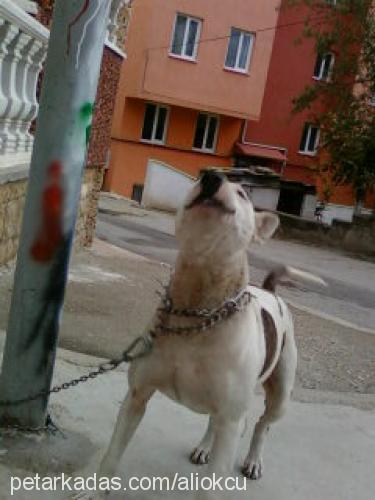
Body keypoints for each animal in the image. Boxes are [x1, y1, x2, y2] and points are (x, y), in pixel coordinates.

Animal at [78, 170, 324, 498]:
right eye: (197, 177)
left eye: (243, 194)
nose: (212, 177)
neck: (198, 308)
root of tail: (270, 290)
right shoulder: (136, 396)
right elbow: (112, 453)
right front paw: (95, 491)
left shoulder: (232, 419)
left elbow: (214, 484)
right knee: (215, 421)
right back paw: (205, 447)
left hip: (280, 394)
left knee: (262, 424)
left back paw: (253, 460)